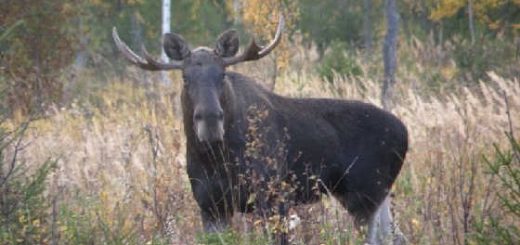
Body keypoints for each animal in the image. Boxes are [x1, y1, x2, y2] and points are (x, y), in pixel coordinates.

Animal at [111, 16, 408, 244]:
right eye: (185, 78)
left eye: (222, 75)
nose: (210, 121)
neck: (216, 159)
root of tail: (405, 133)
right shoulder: (210, 205)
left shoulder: (274, 197)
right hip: (374, 195)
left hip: (364, 193)